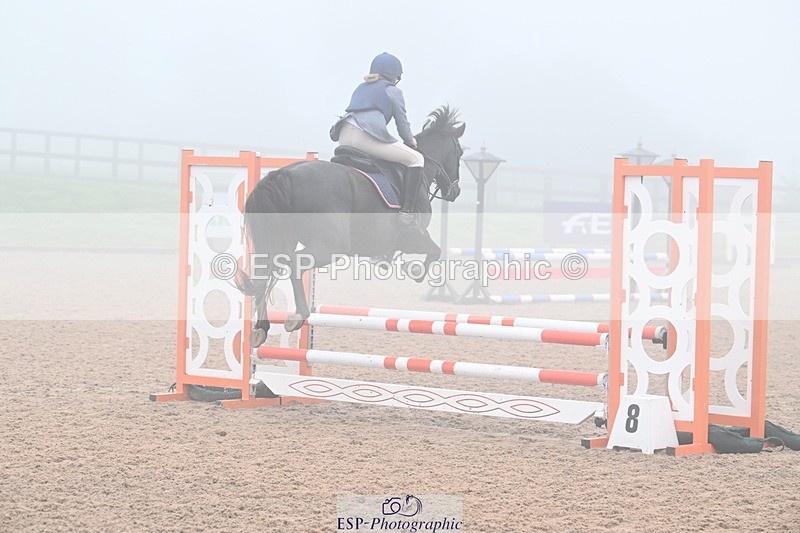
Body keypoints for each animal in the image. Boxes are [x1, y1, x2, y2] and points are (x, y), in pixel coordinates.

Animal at [237, 105, 465, 347]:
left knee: (264, 272)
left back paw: (261, 328)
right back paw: (298, 315)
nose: (455, 191)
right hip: (330, 246)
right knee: (294, 265)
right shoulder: (412, 237)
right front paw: (414, 270)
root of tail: (282, 174)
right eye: (459, 153)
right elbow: (435, 251)